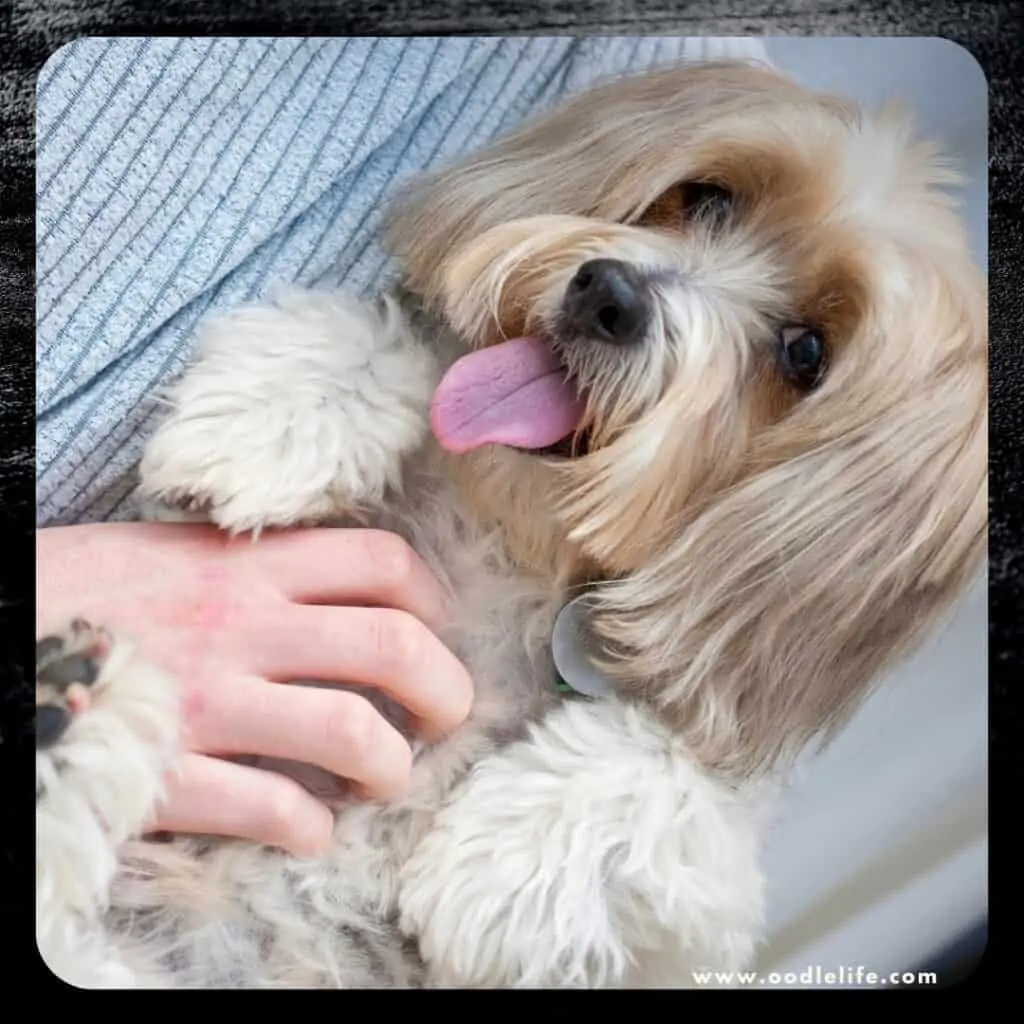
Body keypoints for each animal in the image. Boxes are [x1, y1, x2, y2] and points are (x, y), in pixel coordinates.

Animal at [36, 59, 987, 987]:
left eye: (806, 353)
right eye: (710, 198)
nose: (611, 292)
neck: (519, 545)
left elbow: (672, 762)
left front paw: (509, 863)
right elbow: (397, 347)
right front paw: (274, 420)